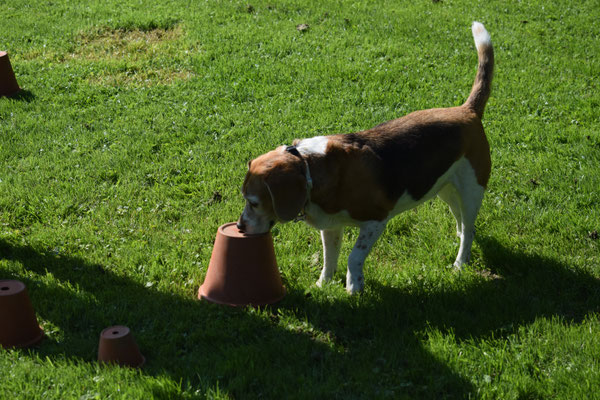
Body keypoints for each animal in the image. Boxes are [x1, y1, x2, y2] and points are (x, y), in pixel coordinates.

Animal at [237, 23, 494, 296]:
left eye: (253, 202)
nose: (240, 227)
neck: (309, 168)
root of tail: (467, 110)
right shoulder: (331, 227)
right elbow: (329, 258)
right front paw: (323, 284)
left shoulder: (375, 222)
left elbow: (353, 257)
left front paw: (354, 286)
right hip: (444, 187)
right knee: (460, 219)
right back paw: (458, 237)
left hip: (471, 190)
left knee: (469, 228)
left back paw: (460, 262)